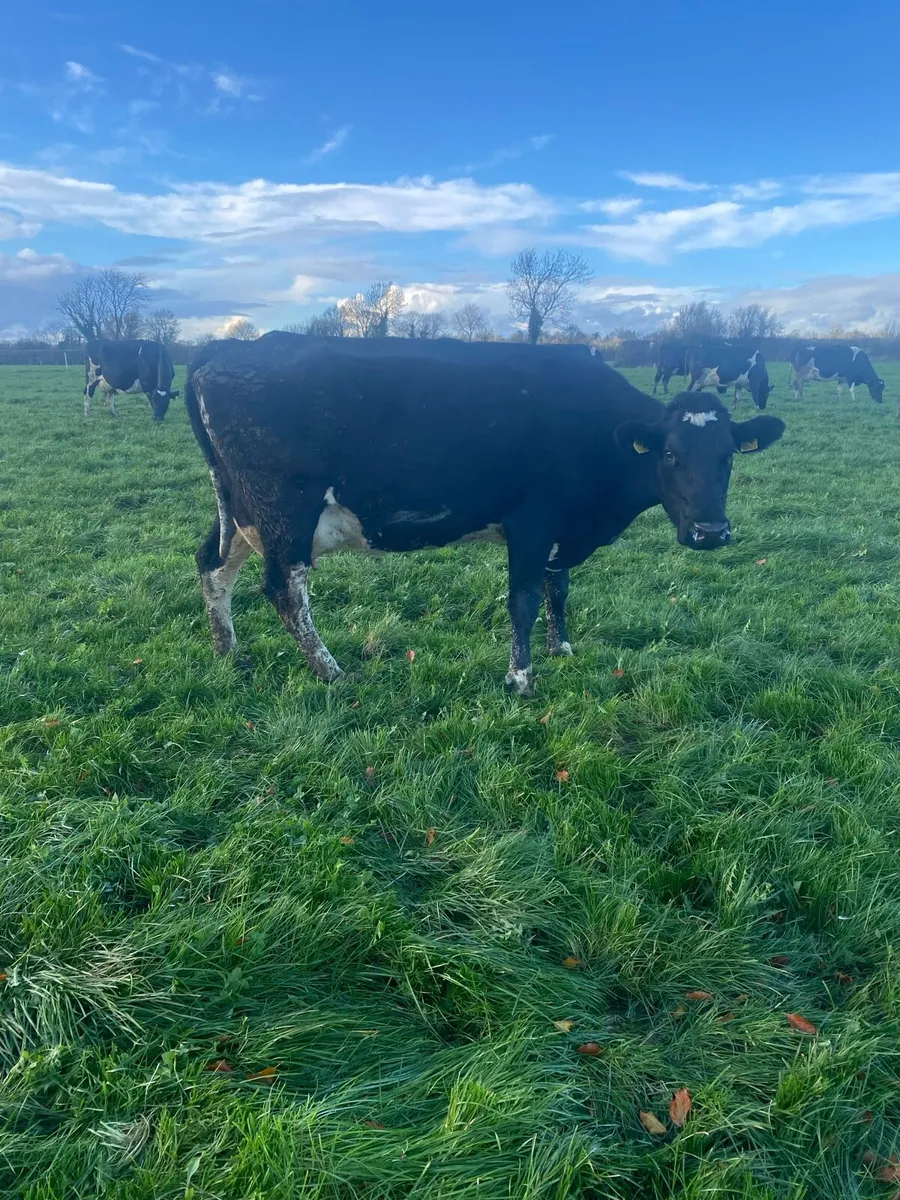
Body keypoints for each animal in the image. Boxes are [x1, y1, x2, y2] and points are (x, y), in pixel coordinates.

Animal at [185, 333, 785, 696]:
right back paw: (333, 672)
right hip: (285, 510)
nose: (710, 532)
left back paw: (227, 651)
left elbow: (558, 588)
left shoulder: (560, 528)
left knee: (213, 564)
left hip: (240, 510)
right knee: (285, 590)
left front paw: (562, 648)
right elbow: (523, 600)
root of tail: (227, 347)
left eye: (728, 456)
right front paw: (521, 677)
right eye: (670, 455)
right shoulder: (532, 521)